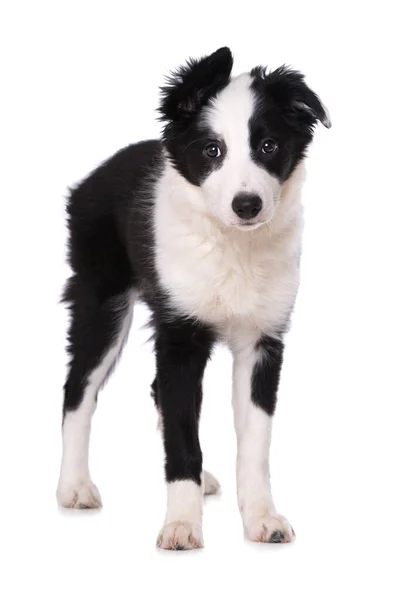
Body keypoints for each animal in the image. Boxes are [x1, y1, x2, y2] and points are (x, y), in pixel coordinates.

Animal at [57, 48, 332, 548]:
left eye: (268, 146)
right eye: (212, 151)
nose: (247, 205)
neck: (232, 245)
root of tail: (95, 175)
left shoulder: (263, 341)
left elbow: (254, 444)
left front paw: (263, 518)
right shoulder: (180, 336)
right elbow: (183, 435)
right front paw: (182, 526)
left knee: (153, 390)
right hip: (100, 301)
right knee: (77, 389)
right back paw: (74, 487)